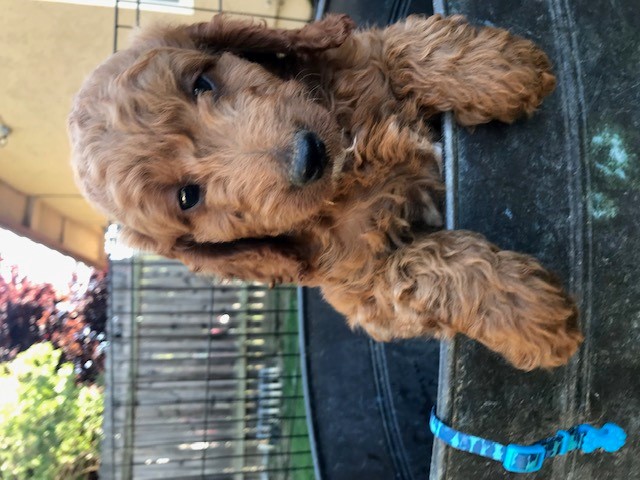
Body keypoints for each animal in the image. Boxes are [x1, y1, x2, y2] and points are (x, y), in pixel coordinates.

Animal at [69, 14, 583, 370]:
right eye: (187, 197)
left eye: (202, 82)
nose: (306, 154)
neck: (350, 159)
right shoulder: (363, 288)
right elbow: (423, 267)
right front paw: (528, 314)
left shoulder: (366, 57)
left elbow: (410, 50)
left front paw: (503, 69)